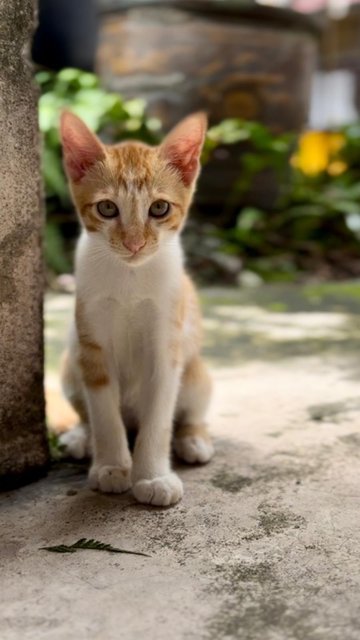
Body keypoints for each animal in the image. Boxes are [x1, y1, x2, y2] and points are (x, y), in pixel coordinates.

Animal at [59, 109, 214, 504]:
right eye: (107, 208)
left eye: (159, 208)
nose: (133, 243)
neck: (130, 277)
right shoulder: (92, 343)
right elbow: (102, 413)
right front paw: (112, 467)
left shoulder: (167, 344)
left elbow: (159, 415)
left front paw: (153, 476)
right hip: (70, 363)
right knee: (86, 410)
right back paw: (80, 436)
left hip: (197, 372)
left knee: (192, 408)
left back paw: (194, 439)